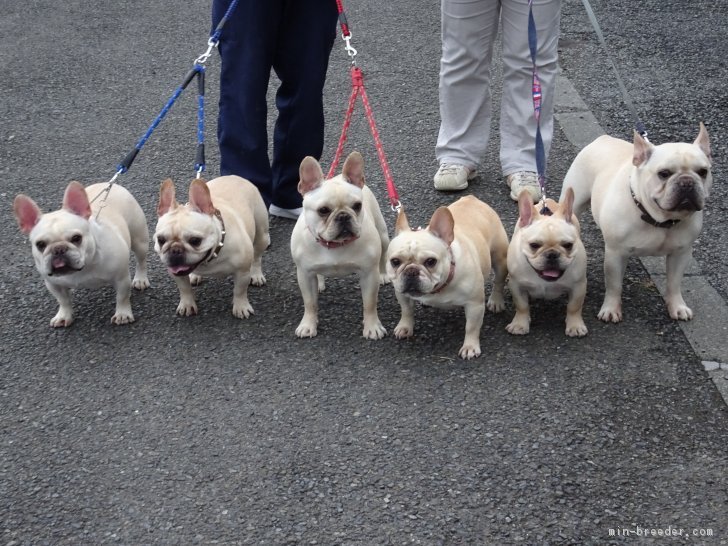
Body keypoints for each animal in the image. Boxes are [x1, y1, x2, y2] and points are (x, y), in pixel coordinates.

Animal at [510, 187, 588, 336]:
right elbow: (521, 306)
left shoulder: (578, 286)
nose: (552, 254)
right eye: (534, 245)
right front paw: (519, 324)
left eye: (568, 245)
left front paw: (575, 326)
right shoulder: (517, 286)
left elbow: (574, 307)